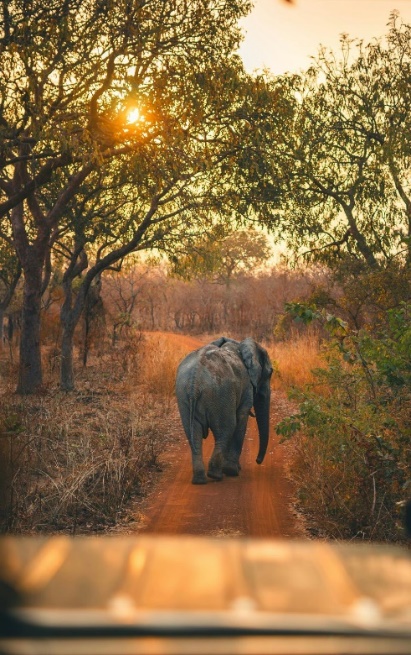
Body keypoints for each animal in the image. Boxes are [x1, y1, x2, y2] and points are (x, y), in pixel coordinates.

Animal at [175, 336, 273, 484]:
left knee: (193, 434)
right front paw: (233, 470)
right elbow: (241, 419)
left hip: (184, 396)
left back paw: (200, 479)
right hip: (221, 392)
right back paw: (217, 475)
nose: (258, 460)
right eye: (270, 373)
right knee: (226, 429)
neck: (239, 344)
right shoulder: (246, 387)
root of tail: (195, 381)